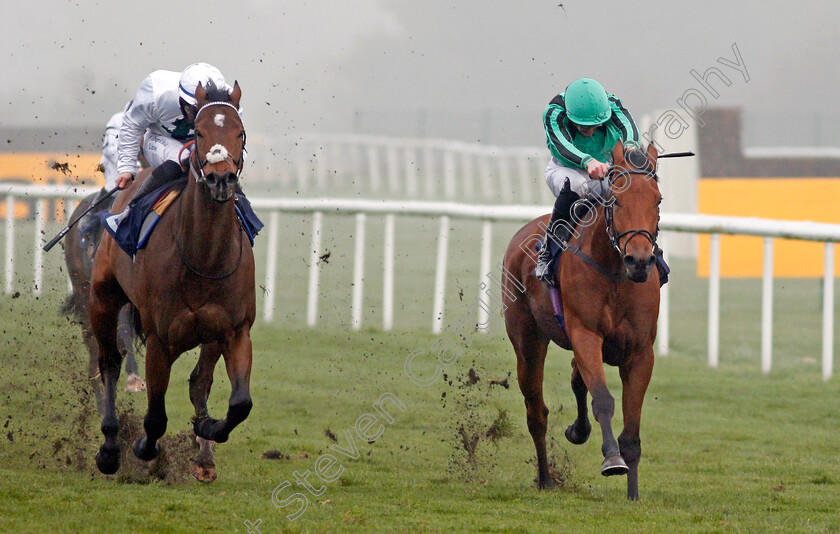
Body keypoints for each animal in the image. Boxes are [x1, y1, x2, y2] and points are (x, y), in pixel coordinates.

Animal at [88, 81, 254, 484]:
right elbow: (155, 417)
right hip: (102, 298)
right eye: (199, 132)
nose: (221, 179)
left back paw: (204, 455)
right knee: (110, 363)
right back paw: (110, 448)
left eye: (240, 132)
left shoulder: (235, 329)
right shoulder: (161, 338)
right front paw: (144, 450)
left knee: (199, 381)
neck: (203, 255)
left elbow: (239, 403)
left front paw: (207, 429)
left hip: (210, 337)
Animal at [506, 142, 664, 502]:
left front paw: (633, 495)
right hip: (527, 340)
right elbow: (603, 400)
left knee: (577, 379)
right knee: (536, 411)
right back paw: (545, 479)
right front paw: (612, 461)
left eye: (658, 200)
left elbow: (632, 430)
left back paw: (577, 431)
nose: (639, 261)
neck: (615, 272)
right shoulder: (586, 334)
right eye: (616, 200)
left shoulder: (640, 352)